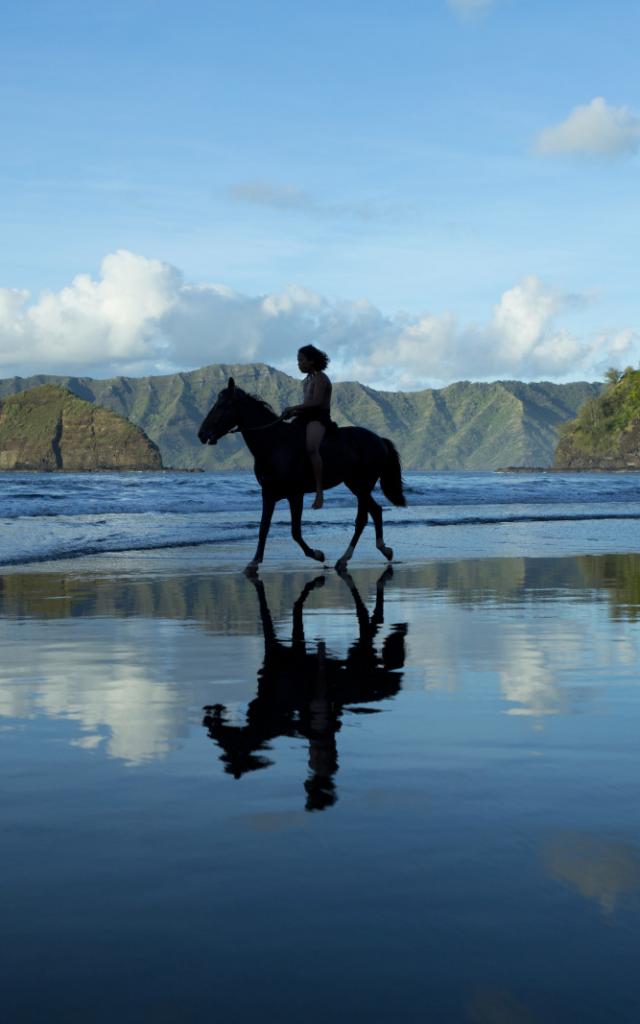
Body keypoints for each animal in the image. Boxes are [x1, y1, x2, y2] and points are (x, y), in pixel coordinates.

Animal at [195, 378, 403, 573]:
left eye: (221, 406)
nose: (202, 434)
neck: (274, 443)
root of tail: (379, 440)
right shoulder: (268, 494)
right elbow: (263, 528)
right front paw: (253, 562)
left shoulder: (295, 494)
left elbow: (295, 531)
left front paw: (318, 554)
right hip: (355, 484)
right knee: (375, 510)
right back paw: (384, 550)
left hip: (362, 486)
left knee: (362, 519)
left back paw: (345, 558)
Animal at [201, 569, 407, 806]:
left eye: (225, 749)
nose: (207, 720)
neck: (272, 708)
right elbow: (291, 609)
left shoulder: (281, 649)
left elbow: (275, 611)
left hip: (360, 653)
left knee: (370, 619)